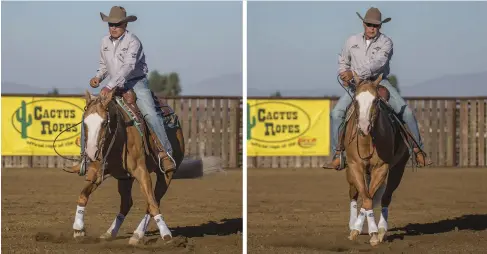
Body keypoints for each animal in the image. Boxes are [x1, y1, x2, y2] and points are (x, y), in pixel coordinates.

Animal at [67, 89, 184, 244]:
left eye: (104, 123)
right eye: (85, 123)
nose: (91, 153)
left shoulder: (141, 171)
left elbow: (152, 203)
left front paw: (166, 234)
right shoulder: (100, 172)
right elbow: (83, 195)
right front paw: (78, 229)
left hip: (166, 174)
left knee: (153, 201)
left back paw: (138, 234)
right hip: (125, 179)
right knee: (127, 203)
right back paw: (110, 233)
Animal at [342, 73, 414, 246]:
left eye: (375, 101)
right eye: (355, 100)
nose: (363, 126)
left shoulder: (382, 167)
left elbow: (369, 199)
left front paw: (374, 234)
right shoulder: (355, 166)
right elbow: (365, 197)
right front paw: (357, 230)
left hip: (397, 169)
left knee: (385, 197)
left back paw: (381, 229)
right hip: (351, 171)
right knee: (355, 194)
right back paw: (353, 226)